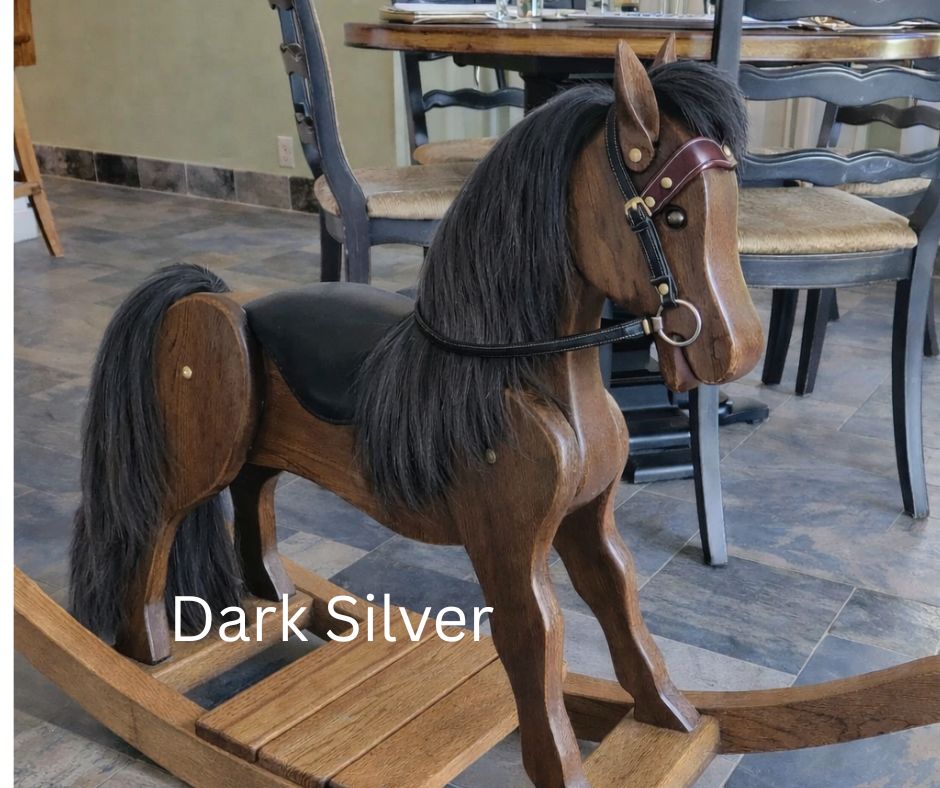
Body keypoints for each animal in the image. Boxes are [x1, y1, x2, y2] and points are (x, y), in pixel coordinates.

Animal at [68, 41, 762, 787]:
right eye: (675, 215)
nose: (737, 348)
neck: (521, 376)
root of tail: (223, 298)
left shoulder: (588, 519)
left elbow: (619, 598)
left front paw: (670, 715)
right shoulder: (507, 542)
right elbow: (536, 634)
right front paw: (560, 766)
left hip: (259, 450)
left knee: (254, 496)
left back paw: (274, 593)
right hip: (203, 443)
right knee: (155, 524)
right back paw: (148, 647)